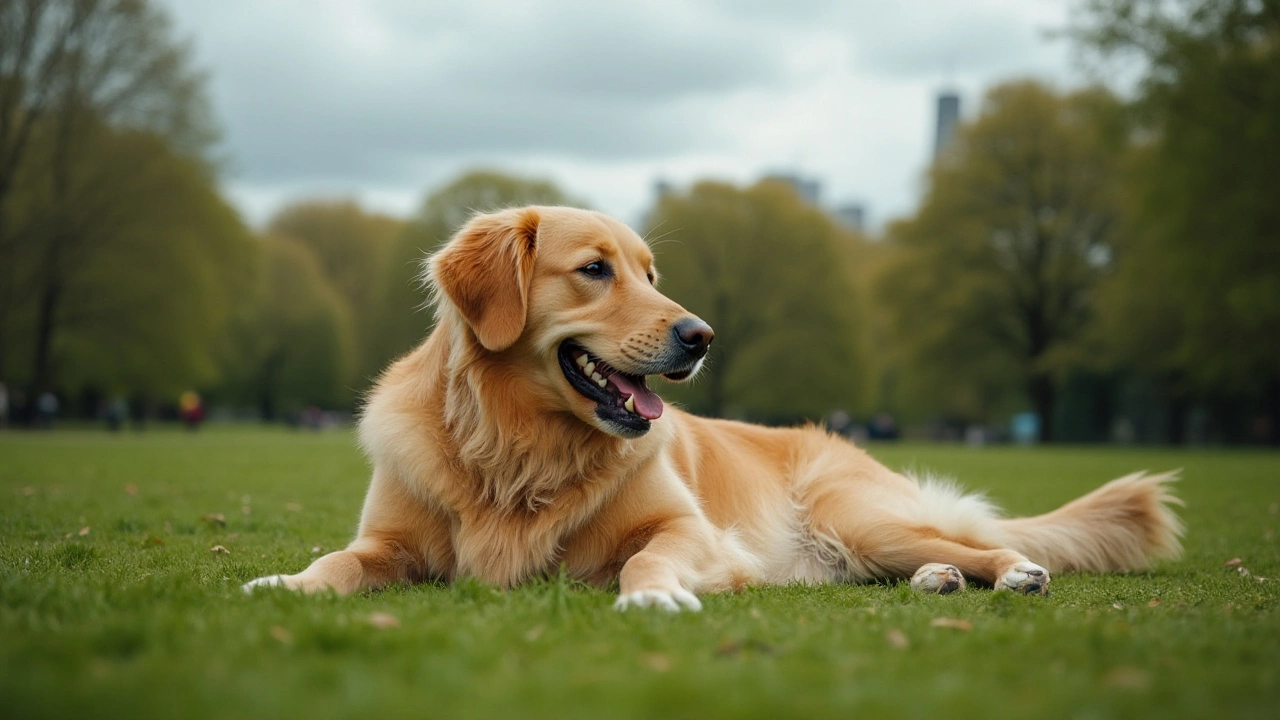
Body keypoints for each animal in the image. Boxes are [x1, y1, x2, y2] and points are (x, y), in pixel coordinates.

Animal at [244, 204, 1182, 607]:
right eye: (596, 270)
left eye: (652, 272)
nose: (701, 334)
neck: (518, 446)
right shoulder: (389, 541)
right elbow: (341, 562)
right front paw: (287, 580)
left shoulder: (686, 529)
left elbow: (646, 559)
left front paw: (653, 595)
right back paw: (938, 580)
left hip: (856, 516)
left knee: (975, 542)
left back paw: (1005, 570)